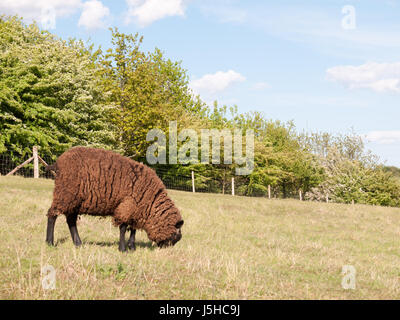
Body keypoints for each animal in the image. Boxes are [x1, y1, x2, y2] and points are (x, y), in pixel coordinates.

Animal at [45, 146, 184, 251]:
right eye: (176, 235)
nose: (166, 249)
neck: (151, 201)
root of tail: (57, 163)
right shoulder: (127, 205)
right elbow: (123, 227)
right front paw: (123, 249)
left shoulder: (136, 209)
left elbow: (133, 229)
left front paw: (132, 247)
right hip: (65, 193)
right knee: (52, 215)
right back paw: (50, 242)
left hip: (74, 200)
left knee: (71, 221)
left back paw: (78, 243)